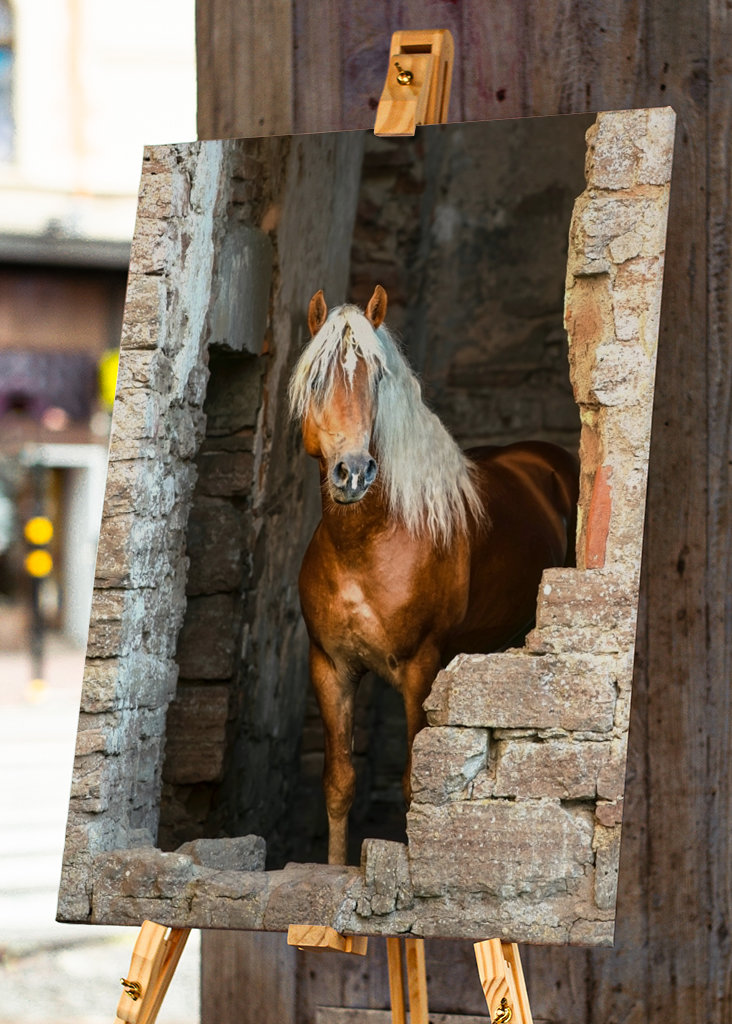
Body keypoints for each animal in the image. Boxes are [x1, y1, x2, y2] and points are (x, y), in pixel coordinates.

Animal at [289, 285, 579, 864]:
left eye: (377, 378)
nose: (353, 472)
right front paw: (335, 872)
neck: (368, 543)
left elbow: (414, 784)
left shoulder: (421, 668)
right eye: (315, 379)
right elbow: (339, 782)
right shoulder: (330, 668)